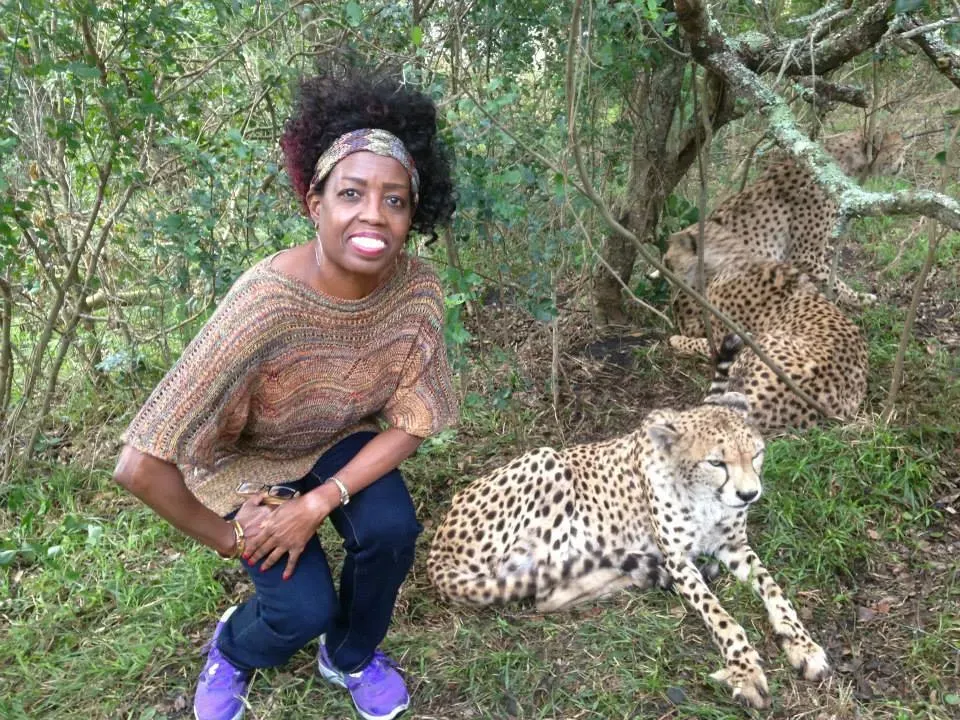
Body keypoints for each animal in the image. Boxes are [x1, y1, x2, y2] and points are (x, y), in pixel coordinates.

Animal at [427, 383, 829, 709]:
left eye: (757, 454)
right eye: (717, 462)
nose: (749, 494)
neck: (703, 496)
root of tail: (436, 551)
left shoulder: (733, 545)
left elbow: (774, 591)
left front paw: (802, 645)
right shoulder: (679, 557)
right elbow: (720, 615)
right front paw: (744, 670)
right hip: (548, 461)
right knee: (545, 589)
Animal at [665, 128, 906, 318]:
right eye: (899, 150)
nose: (904, 163)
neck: (834, 164)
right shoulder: (803, 255)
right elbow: (834, 280)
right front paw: (859, 299)